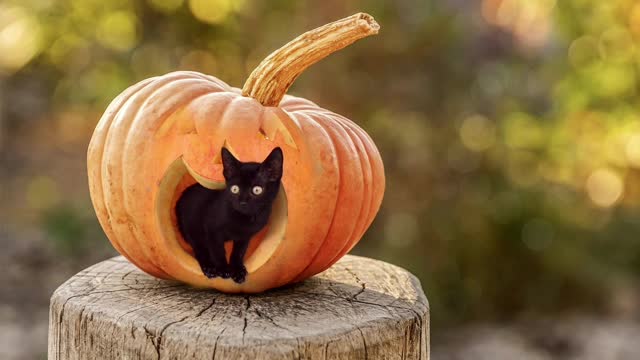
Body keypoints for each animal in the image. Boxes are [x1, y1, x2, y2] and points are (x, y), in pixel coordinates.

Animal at [176, 148, 284, 282]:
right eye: (235, 189)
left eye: (257, 190)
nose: (242, 202)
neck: (244, 219)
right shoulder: (212, 230)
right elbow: (218, 250)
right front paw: (223, 269)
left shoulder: (245, 236)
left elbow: (239, 252)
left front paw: (237, 270)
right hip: (191, 226)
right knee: (199, 248)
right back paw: (209, 267)